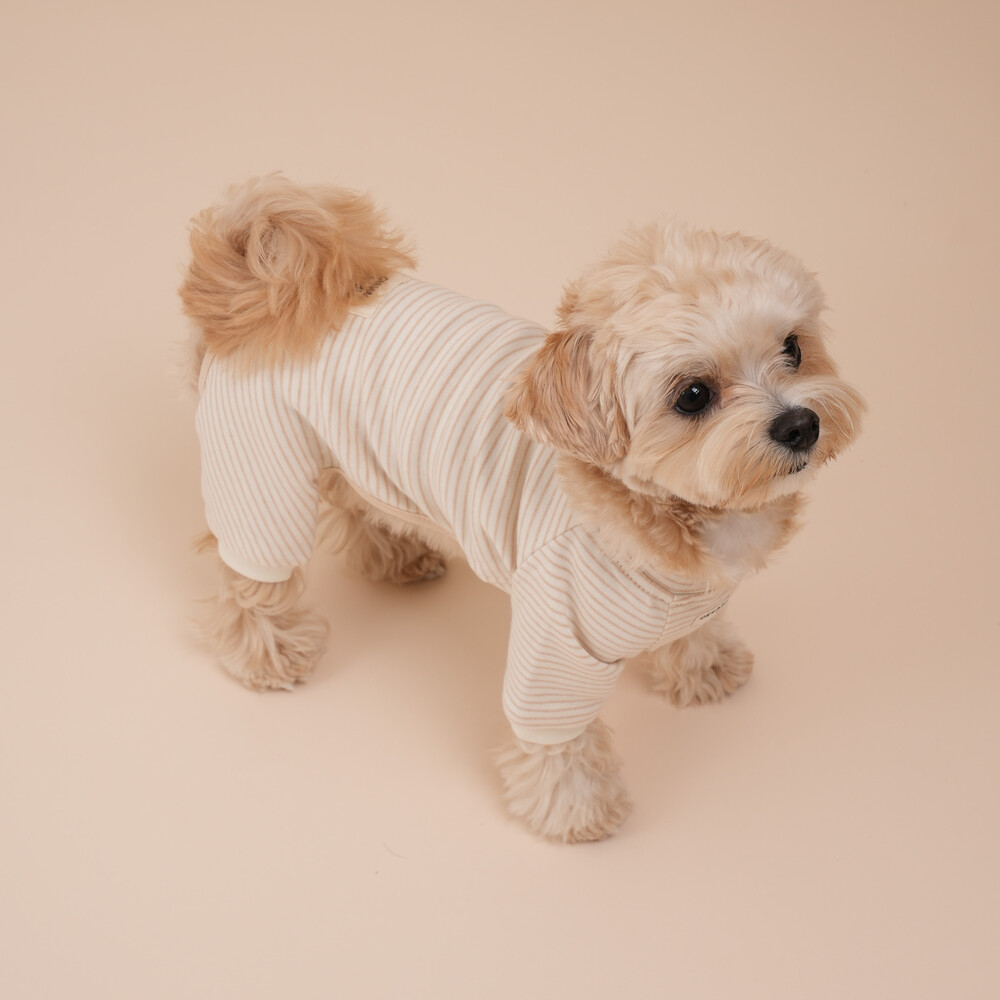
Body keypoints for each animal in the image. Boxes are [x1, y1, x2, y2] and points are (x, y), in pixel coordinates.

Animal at [180, 175, 864, 842]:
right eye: (693, 395)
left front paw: (704, 664)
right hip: (263, 478)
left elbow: (691, 632)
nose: (800, 424)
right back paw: (267, 652)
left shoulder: (688, 599)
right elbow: (556, 738)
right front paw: (577, 807)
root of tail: (263, 290)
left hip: (357, 459)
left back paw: (396, 555)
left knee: (356, 505)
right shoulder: (558, 640)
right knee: (250, 580)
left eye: (792, 347)